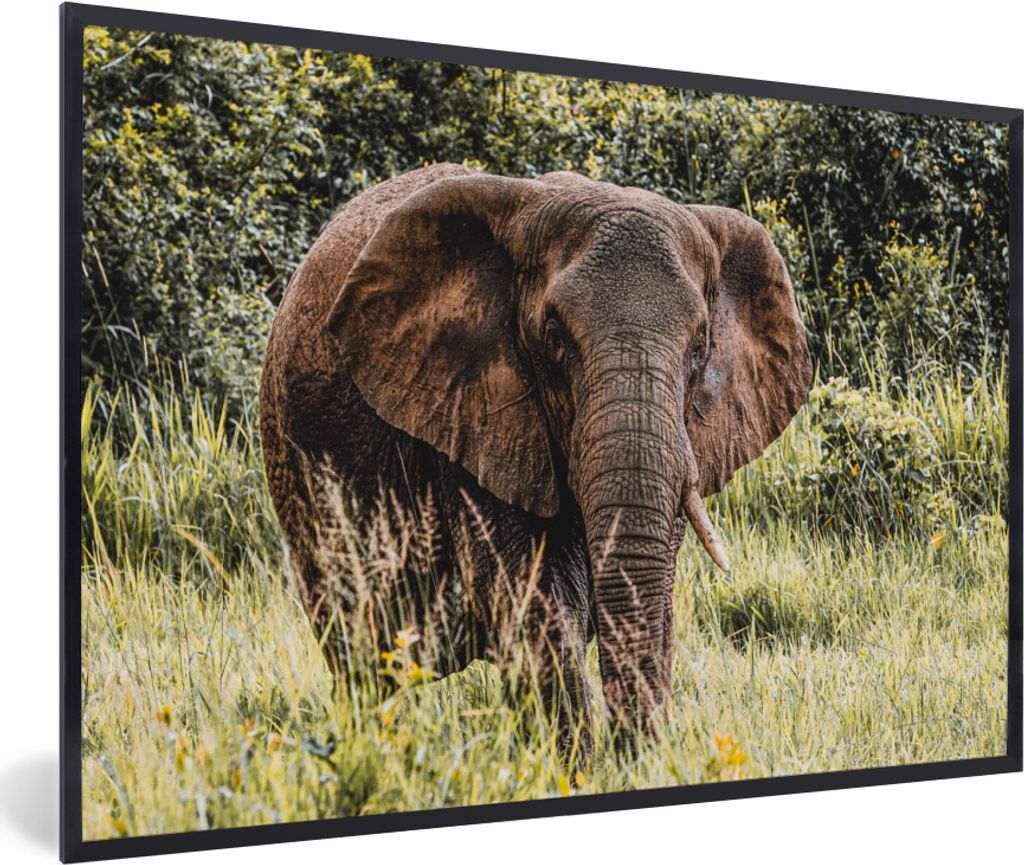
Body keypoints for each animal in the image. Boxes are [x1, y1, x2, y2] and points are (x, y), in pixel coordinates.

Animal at [259, 162, 812, 754]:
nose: (634, 757)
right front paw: (577, 765)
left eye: (700, 346)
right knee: (361, 655)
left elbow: (650, 586)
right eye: (554, 339)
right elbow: (532, 601)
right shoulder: (471, 409)